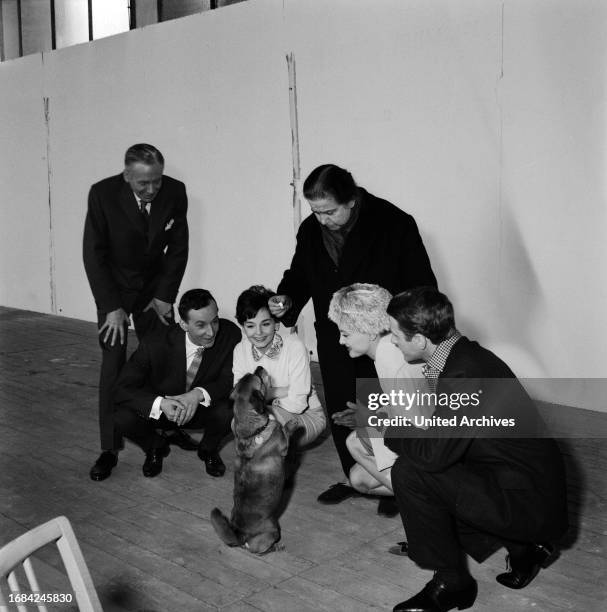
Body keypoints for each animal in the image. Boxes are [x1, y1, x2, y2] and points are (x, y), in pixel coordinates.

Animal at [210, 368, 296, 556]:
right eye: (260, 379)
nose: (258, 367)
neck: (251, 433)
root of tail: (240, 535)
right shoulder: (284, 445)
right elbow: (286, 429)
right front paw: (293, 422)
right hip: (273, 529)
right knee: (261, 550)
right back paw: (276, 547)